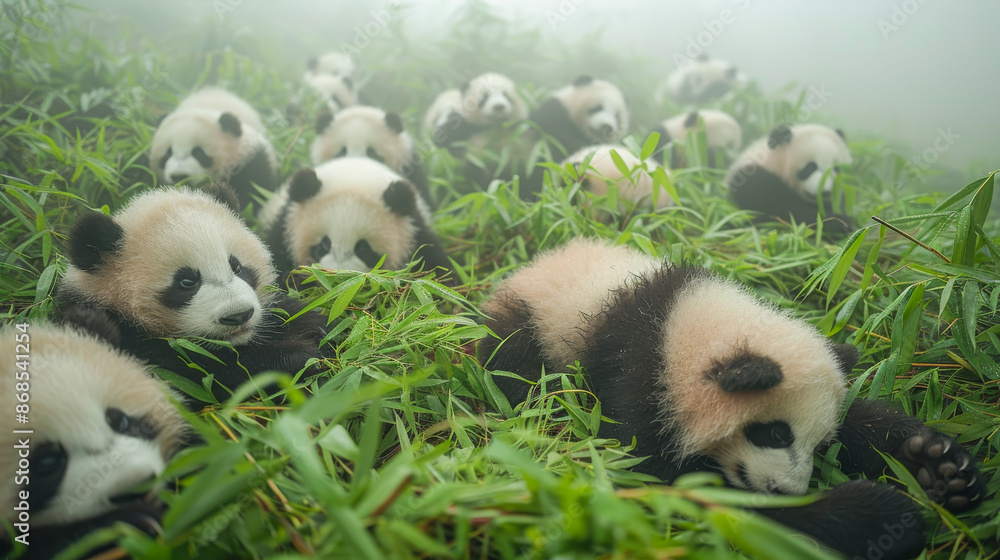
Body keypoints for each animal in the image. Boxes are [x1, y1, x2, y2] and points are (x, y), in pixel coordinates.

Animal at [55, 185, 328, 406]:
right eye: (186, 282)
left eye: (237, 267)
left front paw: (317, 327)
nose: (239, 316)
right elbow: (204, 377)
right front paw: (300, 358)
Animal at [479, 238, 985, 560]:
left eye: (819, 445)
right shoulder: (637, 372)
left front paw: (938, 465)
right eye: (774, 434)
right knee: (514, 367)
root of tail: (524, 269)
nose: (788, 489)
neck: (683, 328)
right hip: (531, 326)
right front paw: (877, 515)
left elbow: (863, 420)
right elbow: (660, 481)